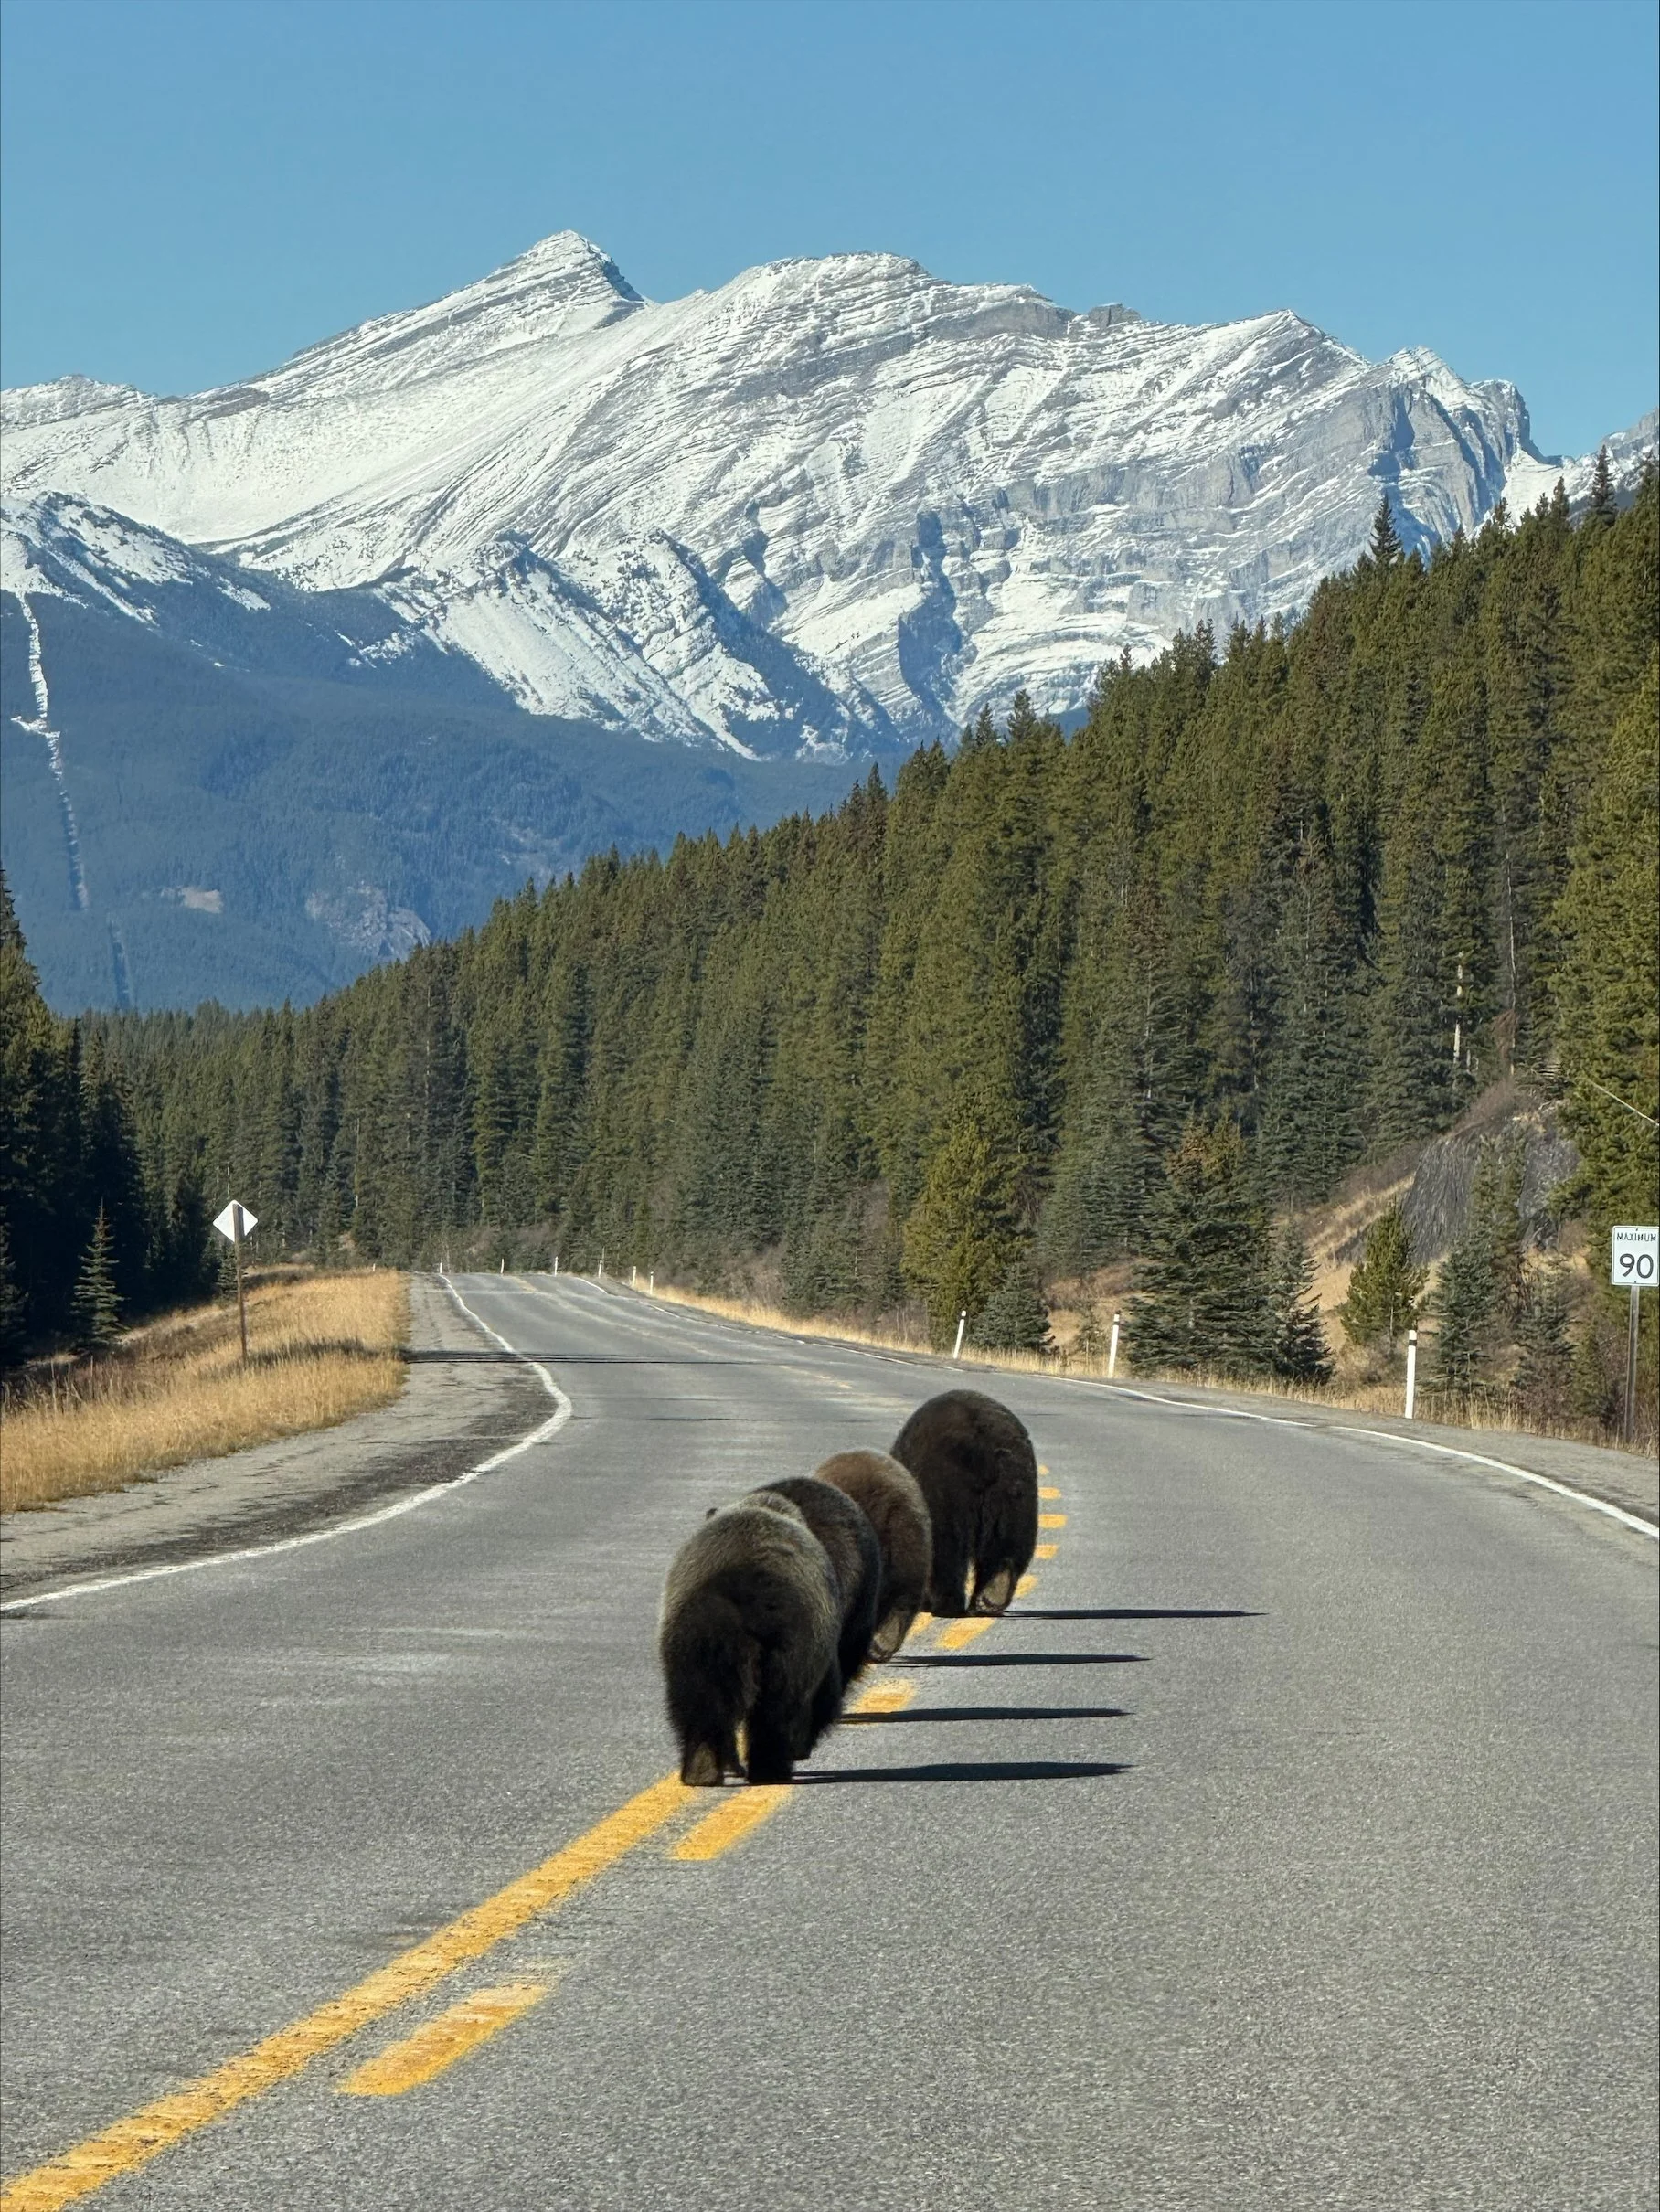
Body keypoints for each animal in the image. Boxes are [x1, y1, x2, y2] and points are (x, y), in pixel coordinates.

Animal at [659, 1492, 841, 1786]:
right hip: (790, 1643)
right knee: (776, 1709)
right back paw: (769, 1769)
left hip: (699, 1639)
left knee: (699, 1706)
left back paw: (703, 1769)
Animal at [890, 1389, 1039, 1618]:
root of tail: (982, 1449)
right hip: (1016, 1489)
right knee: (1009, 1542)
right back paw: (992, 1595)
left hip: (944, 1488)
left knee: (945, 1548)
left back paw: (947, 1605)